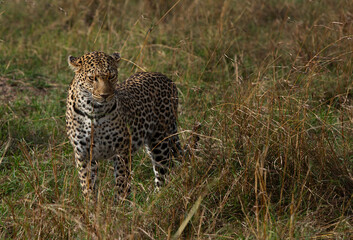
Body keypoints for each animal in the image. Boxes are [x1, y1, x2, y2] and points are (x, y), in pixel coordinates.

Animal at [65, 51, 182, 201]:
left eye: (112, 76)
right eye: (92, 78)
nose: (105, 95)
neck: (94, 111)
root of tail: (165, 77)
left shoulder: (121, 150)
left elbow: (122, 181)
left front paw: (120, 203)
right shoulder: (83, 153)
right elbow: (88, 184)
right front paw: (91, 204)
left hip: (160, 140)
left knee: (163, 172)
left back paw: (155, 199)